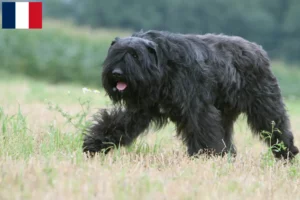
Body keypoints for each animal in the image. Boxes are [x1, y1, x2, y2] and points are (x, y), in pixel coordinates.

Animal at [81, 30, 298, 159]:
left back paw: (286, 153)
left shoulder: (197, 108)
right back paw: (227, 156)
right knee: (226, 135)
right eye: (116, 53)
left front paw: (206, 155)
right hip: (225, 113)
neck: (164, 66)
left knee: (276, 126)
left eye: (135, 55)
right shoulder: (140, 108)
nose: (117, 73)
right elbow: (118, 122)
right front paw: (95, 143)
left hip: (264, 105)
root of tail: (258, 50)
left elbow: (202, 129)